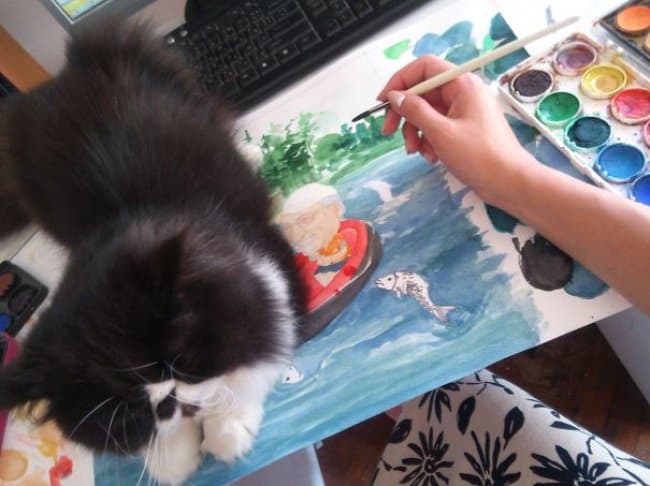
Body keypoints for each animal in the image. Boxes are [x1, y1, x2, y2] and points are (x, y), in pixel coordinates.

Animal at [0, 22, 306, 485]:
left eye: (178, 363)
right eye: (129, 412)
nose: (167, 397)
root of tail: (68, 69)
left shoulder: (273, 273)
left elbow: (251, 364)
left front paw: (227, 432)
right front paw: (174, 456)